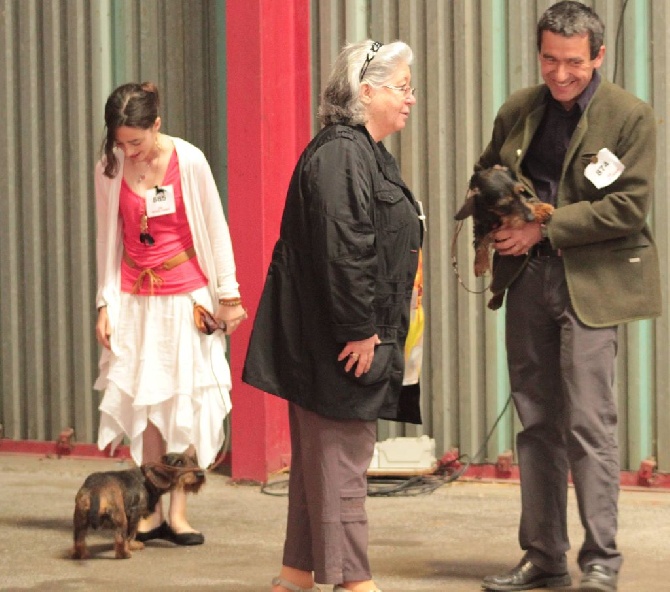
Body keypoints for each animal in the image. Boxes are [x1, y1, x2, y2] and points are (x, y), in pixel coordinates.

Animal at [71, 454, 205, 560]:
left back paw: (81, 554)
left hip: (80, 519)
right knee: (120, 539)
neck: (148, 479)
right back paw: (125, 554)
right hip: (120, 518)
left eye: (194, 461)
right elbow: (132, 534)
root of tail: (96, 489)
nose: (201, 475)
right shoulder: (135, 513)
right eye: (179, 462)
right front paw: (133, 545)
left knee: (79, 541)